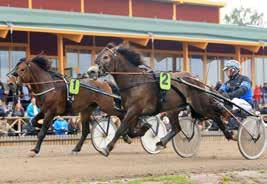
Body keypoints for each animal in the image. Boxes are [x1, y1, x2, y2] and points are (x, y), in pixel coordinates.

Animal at [96, 43, 237, 157]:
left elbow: (121, 128)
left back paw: (231, 134)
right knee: (176, 128)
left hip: (200, 106)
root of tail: (196, 79)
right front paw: (145, 128)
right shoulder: (133, 112)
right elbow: (130, 131)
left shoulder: (134, 109)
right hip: (173, 109)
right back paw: (161, 142)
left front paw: (107, 148)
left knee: (215, 115)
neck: (135, 81)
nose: (93, 70)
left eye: (106, 57)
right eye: (99, 55)